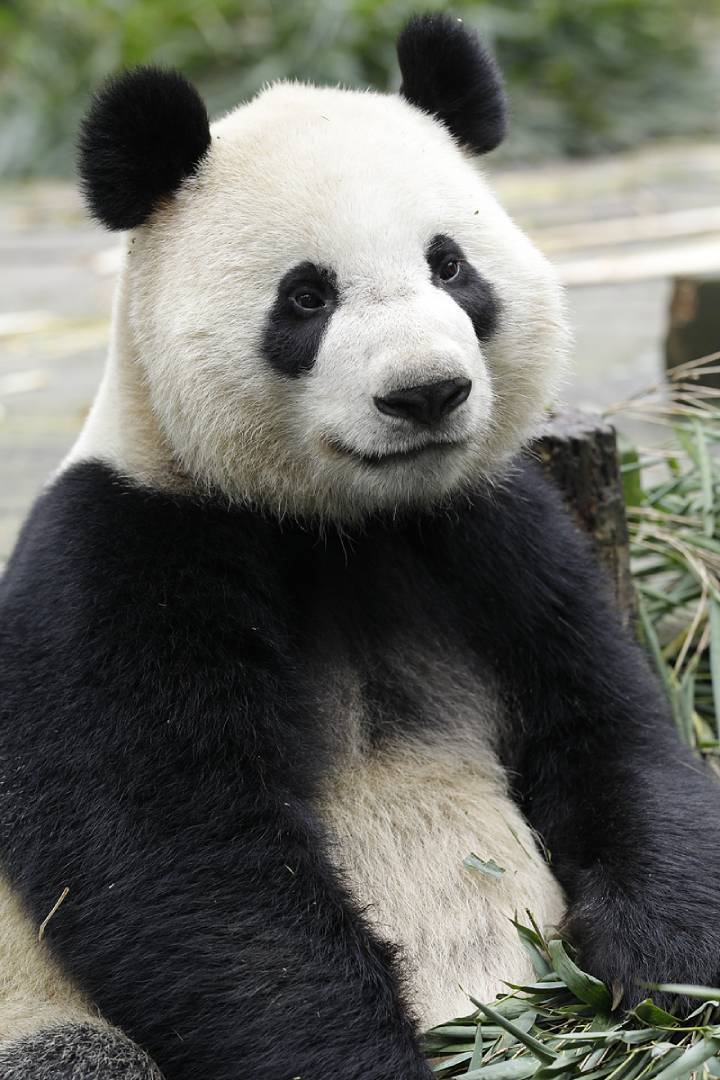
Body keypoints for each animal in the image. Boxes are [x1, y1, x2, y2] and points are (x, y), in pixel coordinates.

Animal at [2, 11, 720, 1080]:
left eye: (450, 265)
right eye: (307, 297)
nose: (426, 393)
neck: (346, 524)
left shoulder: (497, 536)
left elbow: (612, 738)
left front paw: (664, 983)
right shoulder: (115, 565)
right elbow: (183, 865)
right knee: (78, 1053)